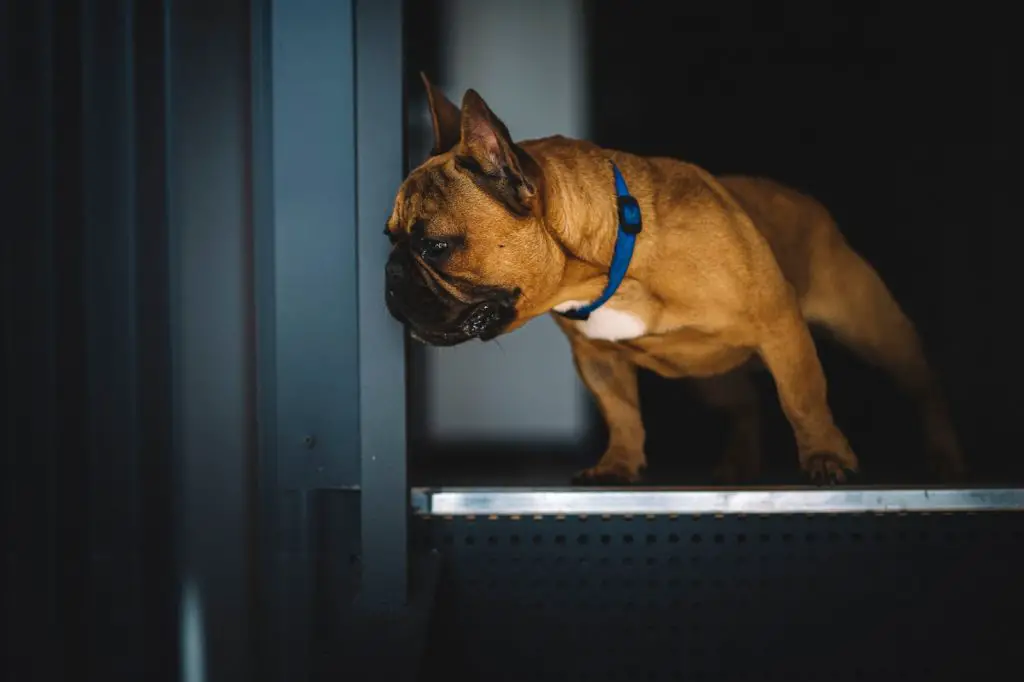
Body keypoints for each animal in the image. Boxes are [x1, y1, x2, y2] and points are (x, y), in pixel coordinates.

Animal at [385, 74, 966, 483]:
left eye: (435, 248)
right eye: (389, 237)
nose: (390, 277)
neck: (609, 265)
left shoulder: (780, 325)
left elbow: (802, 398)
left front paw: (825, 457)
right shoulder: (596, 359)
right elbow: (621, 412)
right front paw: (617, 466)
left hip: (875, 331)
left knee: (924, 386)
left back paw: (945, 457)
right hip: (708, 376)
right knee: (743, 404)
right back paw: (738, 465)